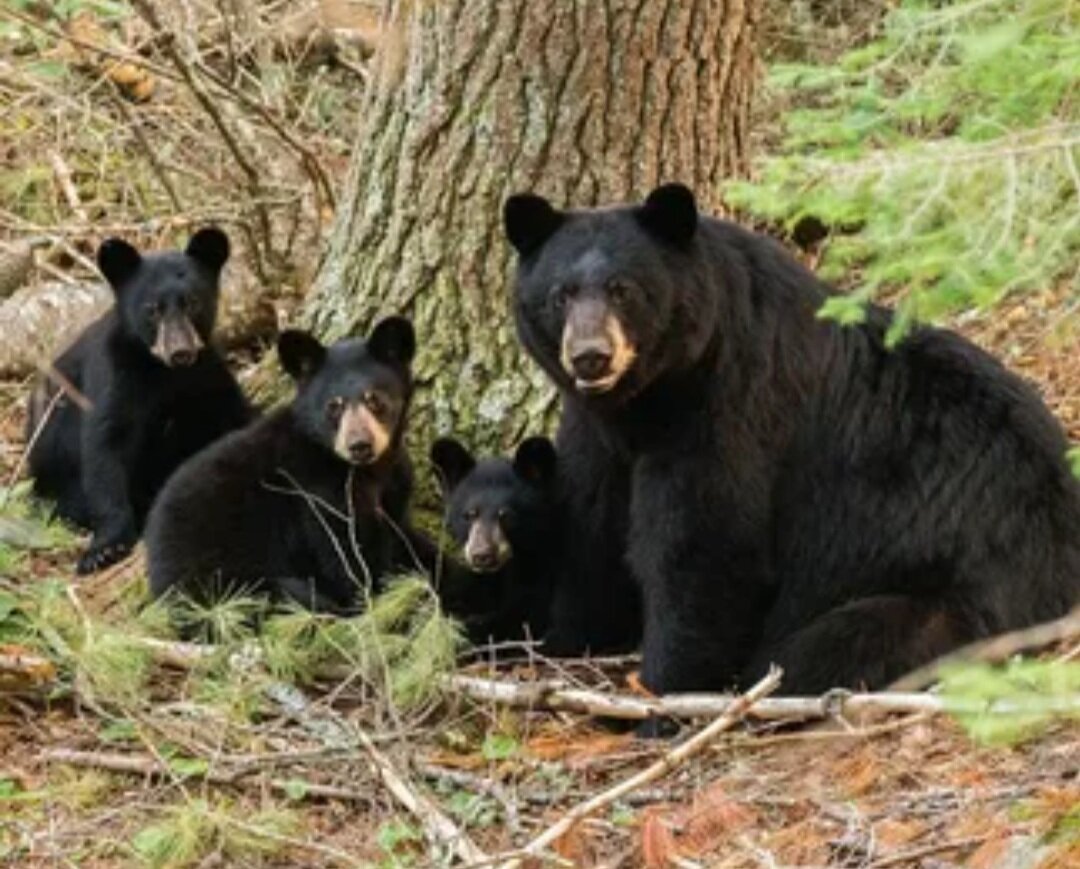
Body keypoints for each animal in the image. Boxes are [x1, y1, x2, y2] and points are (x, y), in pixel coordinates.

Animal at [28, 226, 251, 574]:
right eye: (152, 309)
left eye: (193, 303)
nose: (180, 352)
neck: (164, 374)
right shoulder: (114, 376)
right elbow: (105, 446)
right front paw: (104, 549)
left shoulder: (207, 375)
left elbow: (235, 416)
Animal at [146, 317, 421, 608]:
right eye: (333, 406)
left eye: (374, 398)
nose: (359, 445)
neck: (368, 470)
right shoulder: (318, 494)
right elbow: (351, 560)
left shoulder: (395, 489)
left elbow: (405, 541)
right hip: (225, 580)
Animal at [503, 184, 1080, 699]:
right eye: (561, 294)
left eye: (624, 289)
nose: (590, 356)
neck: (648, 401)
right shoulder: (596, 431)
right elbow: (591, 524)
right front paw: (564, 639)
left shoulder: (729, 409)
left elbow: (704, 545)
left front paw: (663, 693)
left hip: (951, 590)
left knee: (837, 644)